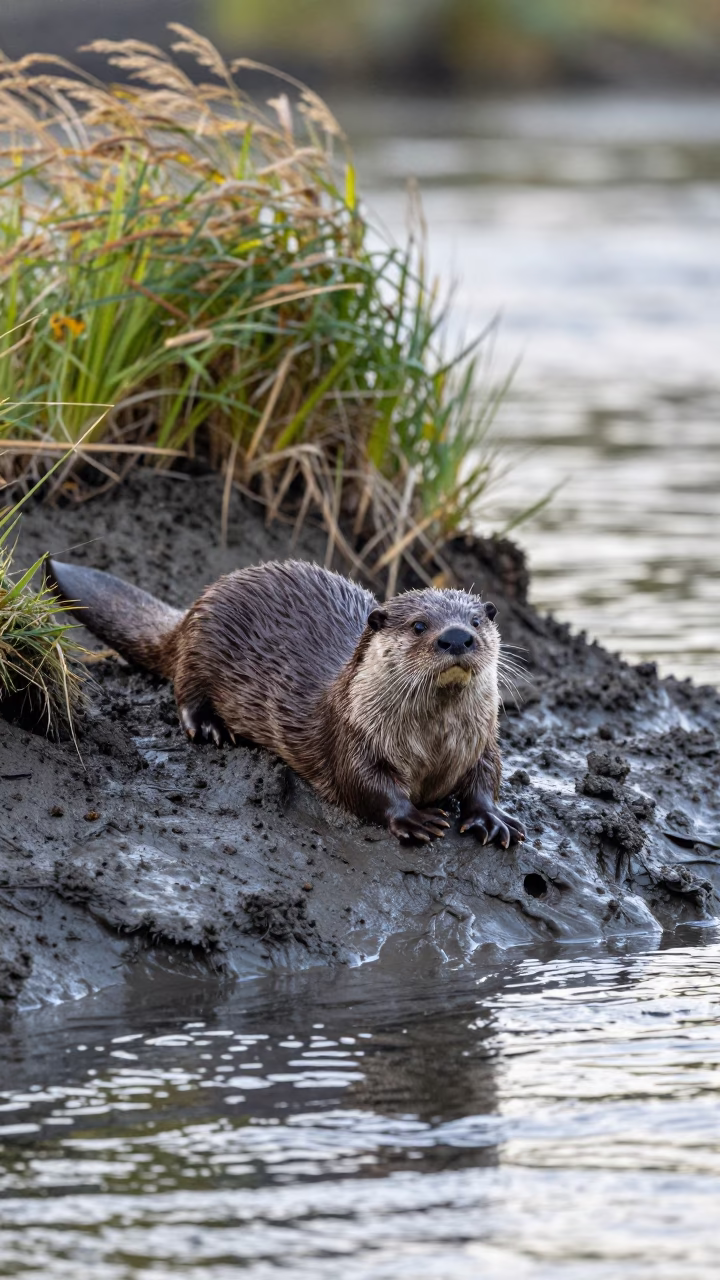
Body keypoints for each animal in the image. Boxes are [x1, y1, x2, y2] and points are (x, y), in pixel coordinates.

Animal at [48, 558, 525, 847]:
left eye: (476, 620)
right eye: (420, 625)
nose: (457, 637)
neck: (432, 746)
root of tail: (192, 608)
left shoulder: (483, 740)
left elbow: (487, 777)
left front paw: (492, 818)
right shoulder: (351, 735)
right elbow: (366, 786)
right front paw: (413, 818)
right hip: (200, 647)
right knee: (184, 689)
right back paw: (210, 727)